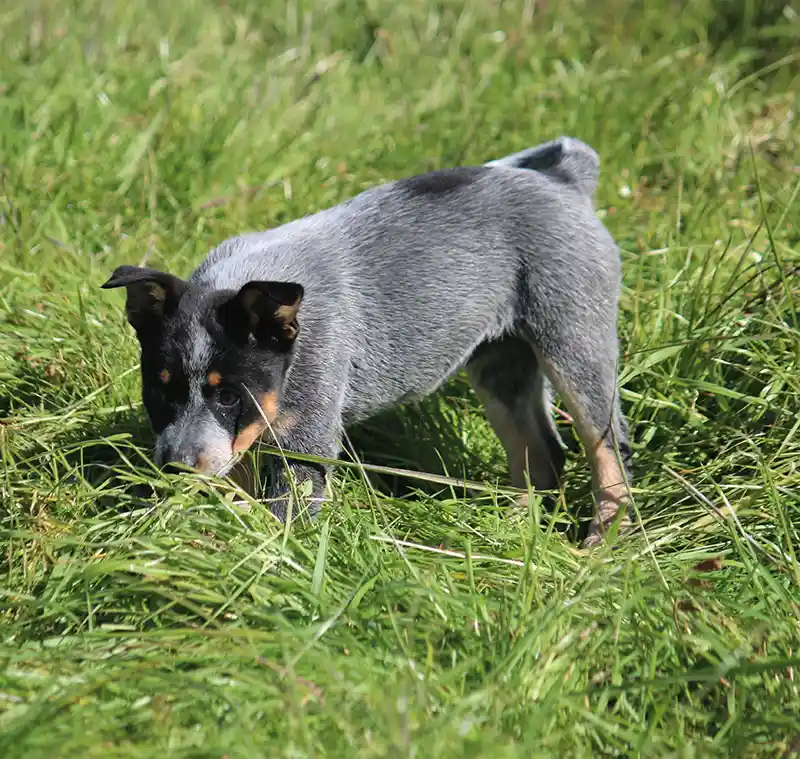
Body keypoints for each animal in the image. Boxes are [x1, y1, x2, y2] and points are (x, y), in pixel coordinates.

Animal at [103, 137, 636, 548]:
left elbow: (279, 520)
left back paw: (603, 541)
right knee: (542, 452)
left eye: (230, 396)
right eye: (162, 391)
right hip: (501, 364)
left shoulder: (305, 444)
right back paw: (509, 530)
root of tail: (565, 180)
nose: (176, 468)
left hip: (575, 341)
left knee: (609, 449)